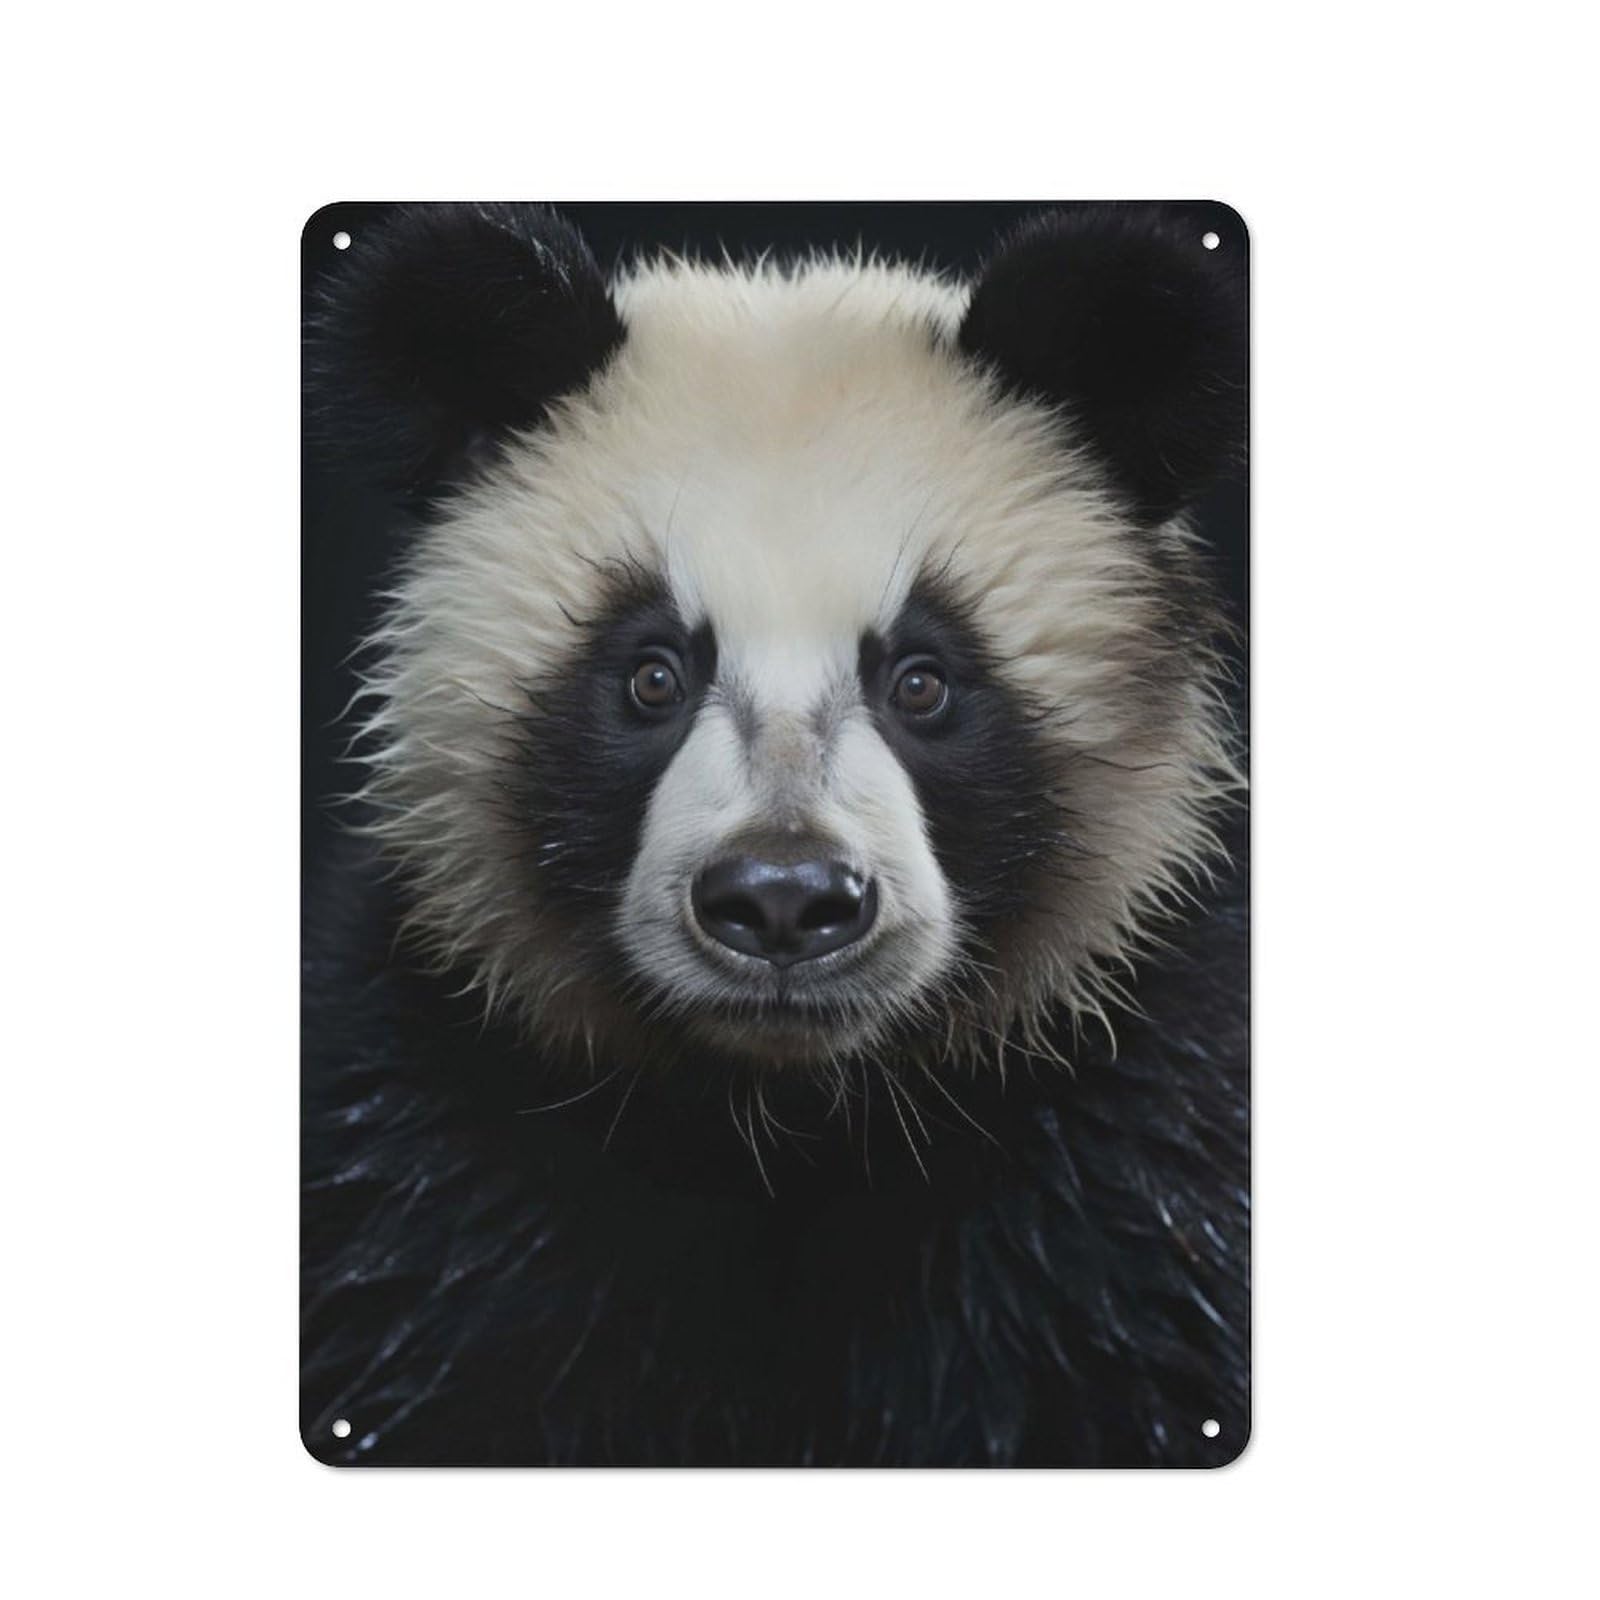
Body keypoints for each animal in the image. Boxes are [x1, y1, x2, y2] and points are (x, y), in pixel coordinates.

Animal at [302, 202, 1249, 1467]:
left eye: (922, 680)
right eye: (651, 674)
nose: (786, 898)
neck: (792, 1122)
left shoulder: (1137, 1160)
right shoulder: (423, 1146)